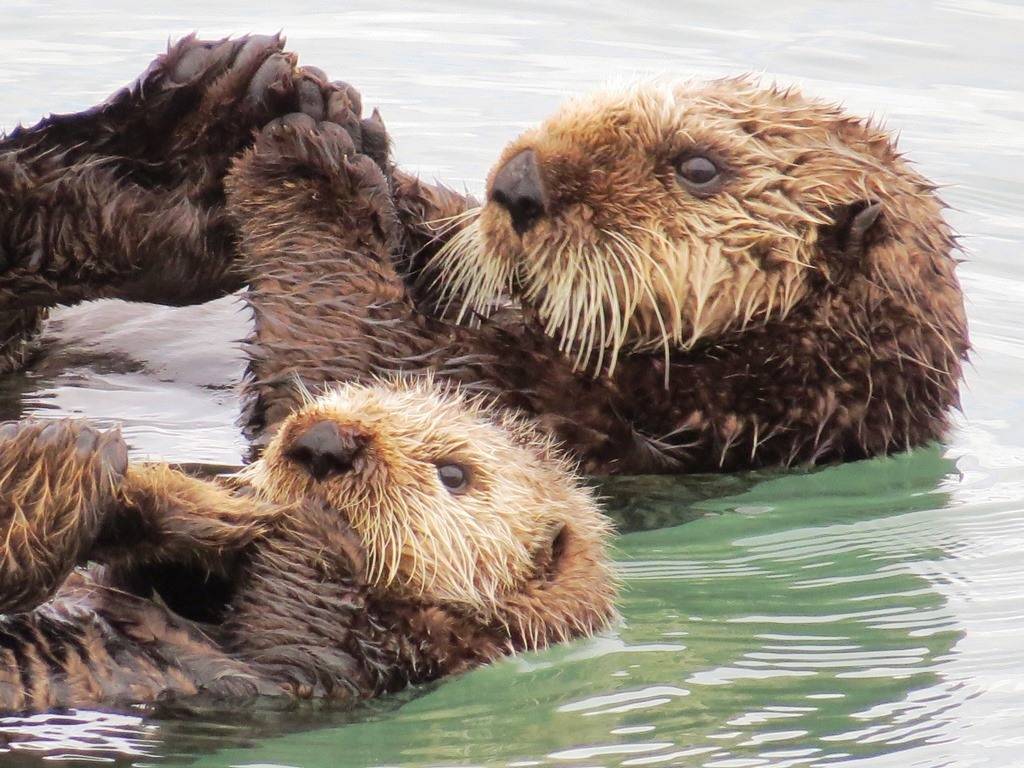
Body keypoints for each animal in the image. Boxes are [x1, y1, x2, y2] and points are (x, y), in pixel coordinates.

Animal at [0, 36, 968, 473]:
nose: (519, 182)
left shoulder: (579, 425)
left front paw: (310, 164)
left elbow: (333, 368)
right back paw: (193, 104)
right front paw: (339, 124)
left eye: (698, 167)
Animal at [0, 378, 615, 713]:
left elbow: (294, 615)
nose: (322, 441)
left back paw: (66, 451)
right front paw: (190, 502)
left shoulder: (335, 674)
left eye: (454, 474)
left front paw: (300, 520)